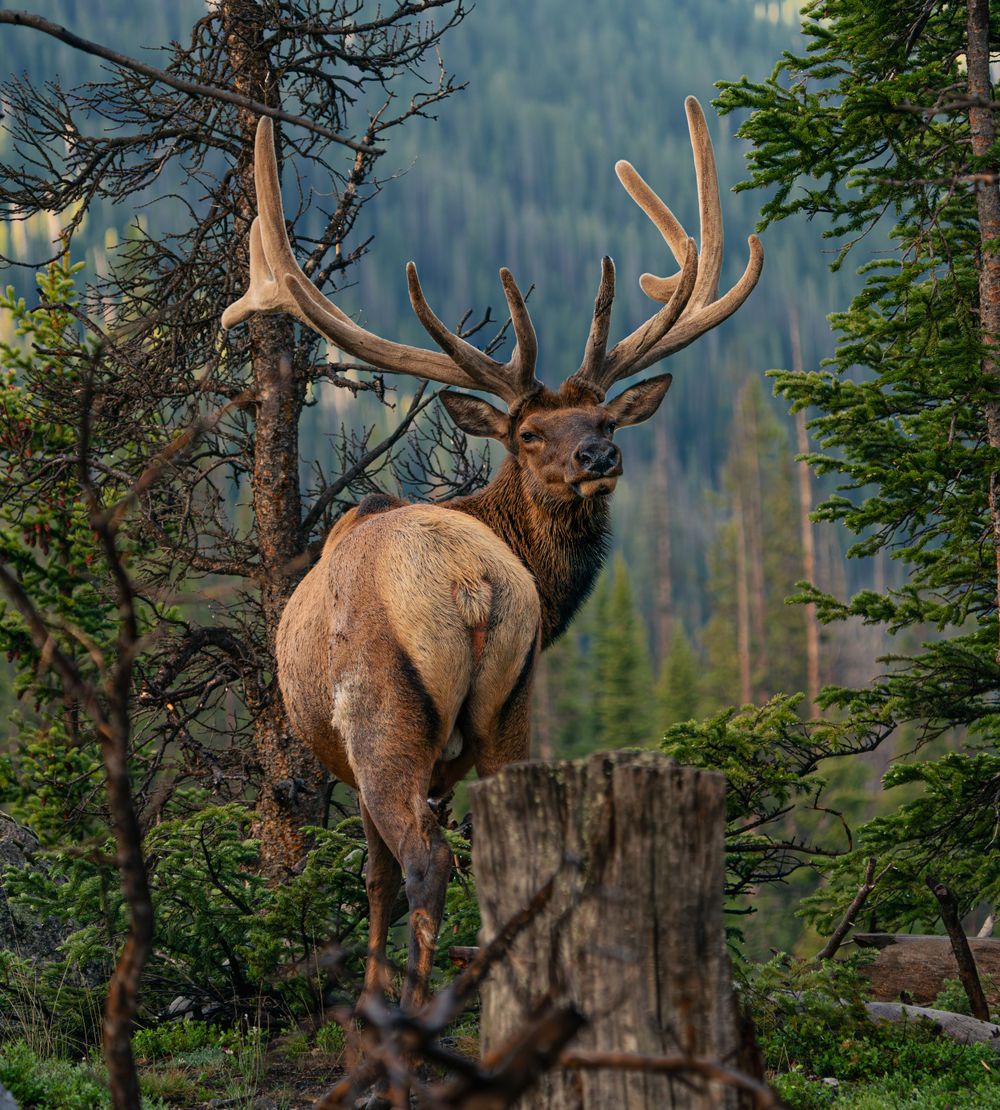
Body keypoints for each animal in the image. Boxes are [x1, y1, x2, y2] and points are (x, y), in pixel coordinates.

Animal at [222, 97, 762, 1013]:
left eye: (604, 418)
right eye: (532, 432)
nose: (600, 455)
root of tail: (473, 586)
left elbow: (374, 879)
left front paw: (368, 1000)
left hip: (382, 722)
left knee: (423, 862)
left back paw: (407, 1020)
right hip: (514, 707)